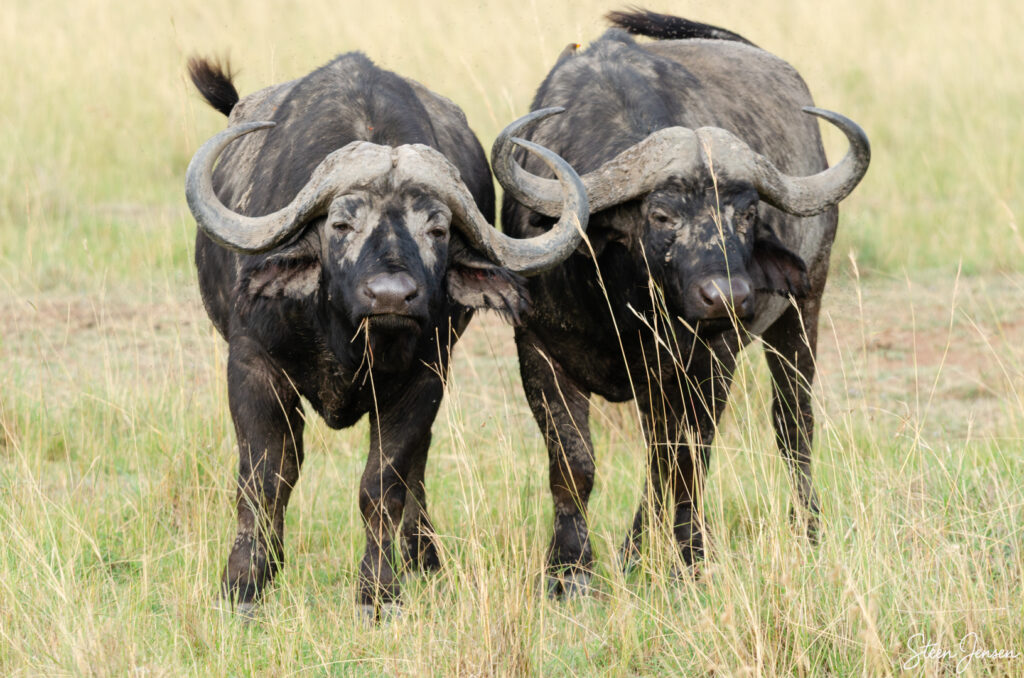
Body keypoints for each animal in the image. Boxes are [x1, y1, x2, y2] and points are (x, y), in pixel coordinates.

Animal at [185, 53, 587, 616]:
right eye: (340, 225)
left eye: (437, 229)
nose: (392, 296)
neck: (347, 337)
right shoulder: (252, 365)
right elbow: (265, 478)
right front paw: (245, 585)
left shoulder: (423, 378)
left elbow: (384, 484)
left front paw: (378, 591)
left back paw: (423, 556)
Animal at [494, 10, 870, 595]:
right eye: (662, 215)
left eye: (745, 213)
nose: (727, 297)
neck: (618, 304)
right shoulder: (539, 351)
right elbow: (574, 464)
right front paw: (569, 572)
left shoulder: (706, 362)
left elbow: (686, 462)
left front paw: (690, 557)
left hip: (803, 307)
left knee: (791, 424)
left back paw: (806, 528)